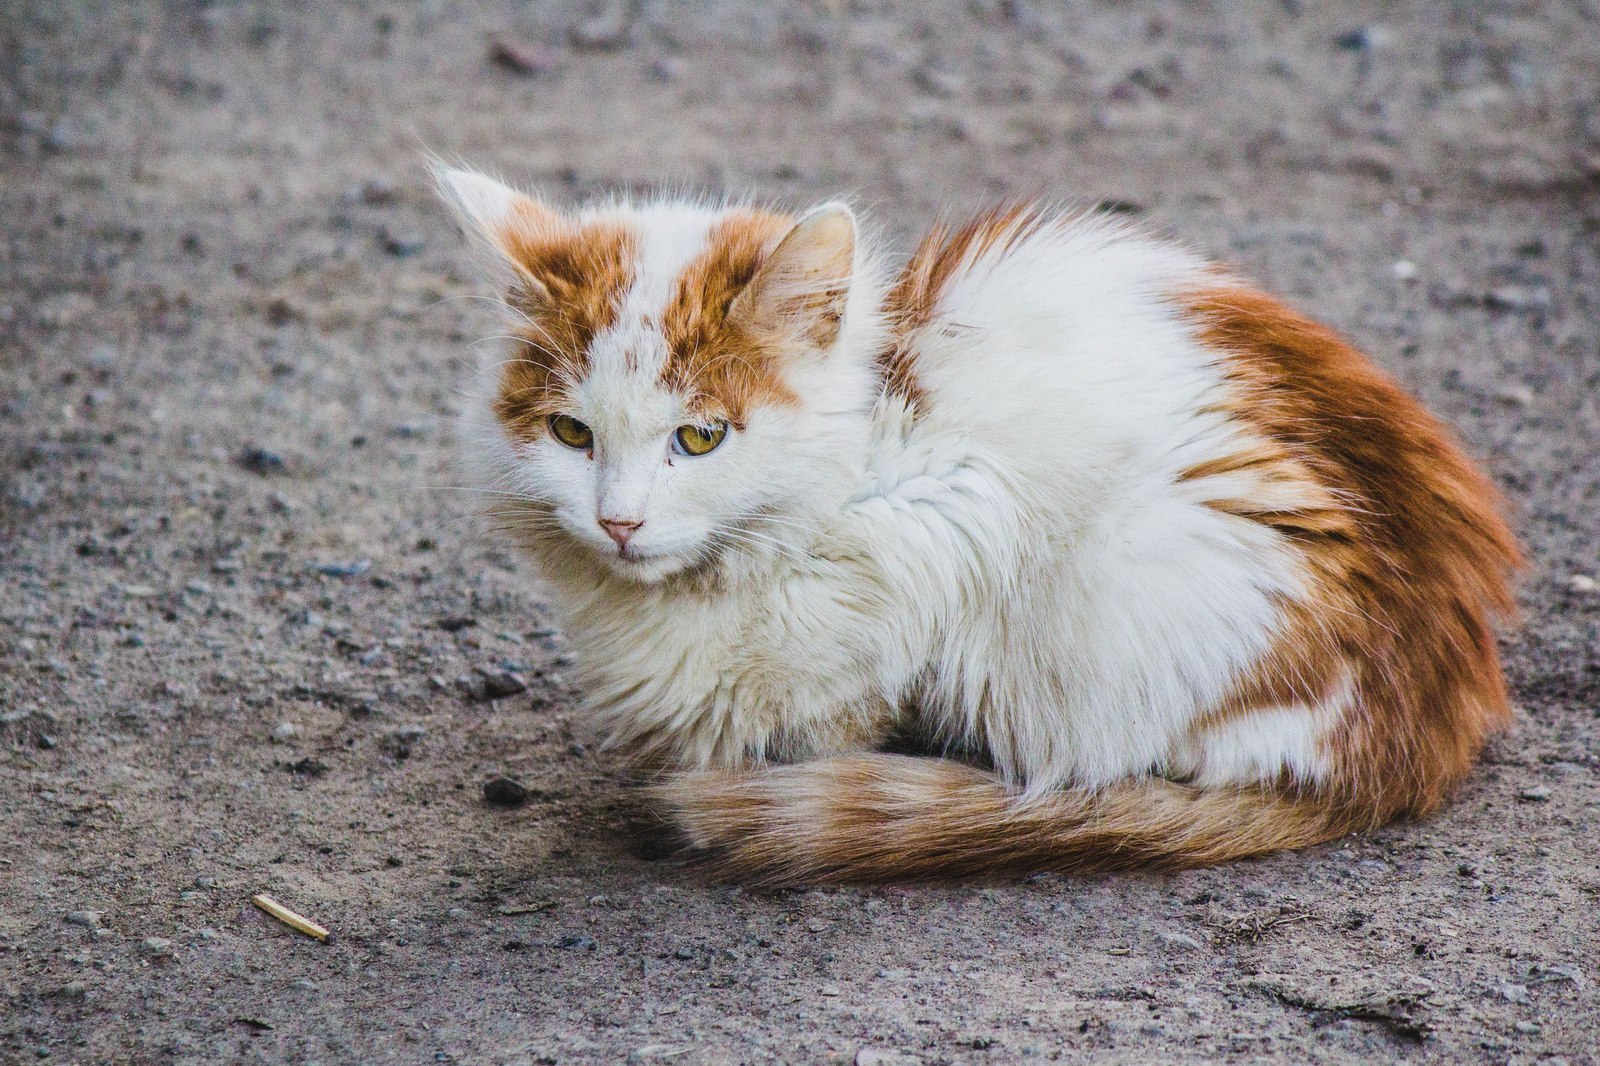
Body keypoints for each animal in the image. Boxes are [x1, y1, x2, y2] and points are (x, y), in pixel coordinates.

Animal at [438, 164, 1523, 877]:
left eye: (700, 438)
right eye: (571, 433)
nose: (618, 522)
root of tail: (1421, 739)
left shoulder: (946, 511)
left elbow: (832, 695)